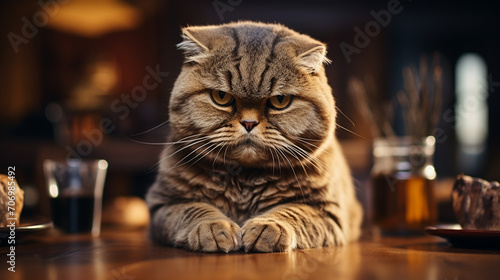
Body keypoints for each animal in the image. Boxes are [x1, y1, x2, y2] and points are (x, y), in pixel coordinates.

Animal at [146, 20, 362, 253]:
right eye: (221, 97)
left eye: (280, 100)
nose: (249, 123)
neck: (245, 180)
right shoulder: (163, 204)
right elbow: (194, 210)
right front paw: (213, 227)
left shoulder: (329, 213)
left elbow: (294, 212)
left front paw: (268, 227)